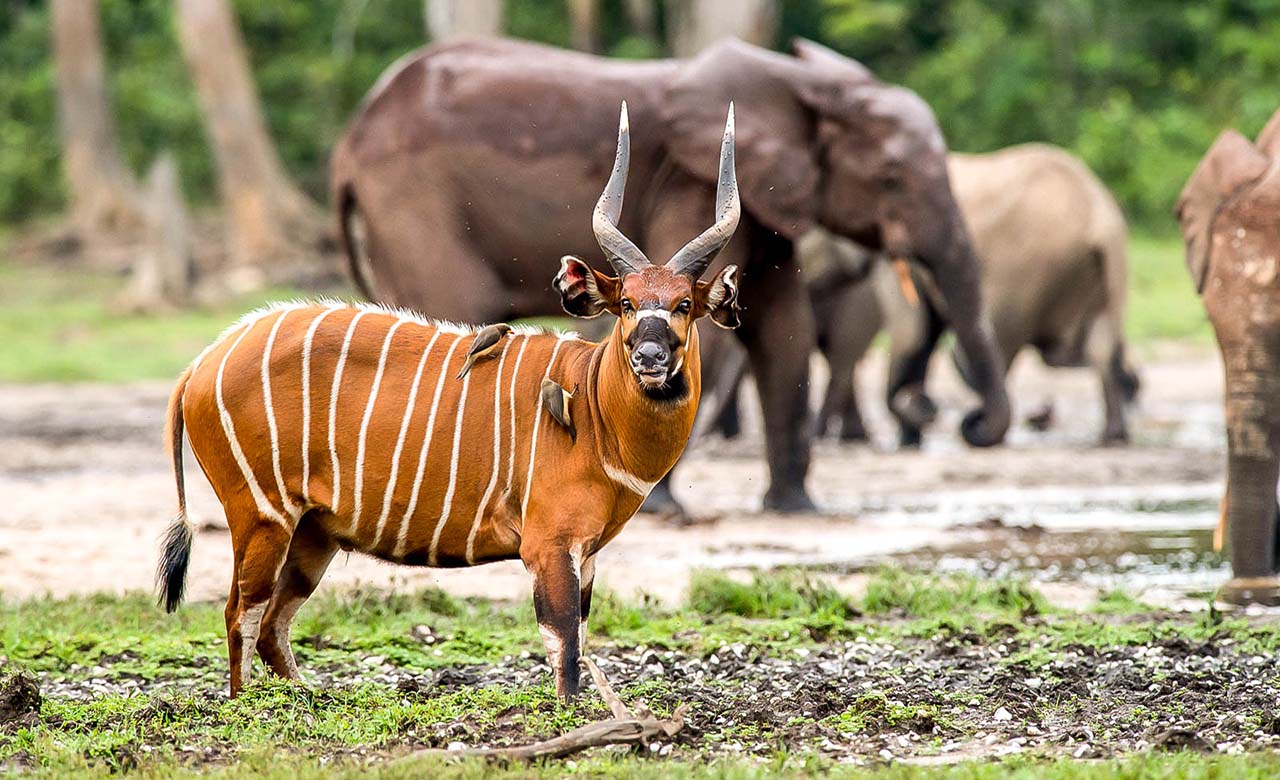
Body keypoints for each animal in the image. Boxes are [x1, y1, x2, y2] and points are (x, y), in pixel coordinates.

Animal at [158, 103, 742, 701]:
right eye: (626, 302)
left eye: (684, 305)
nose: (649, 356)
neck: (594, 410)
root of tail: (199, 366)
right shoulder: (550, 545)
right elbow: (564, 649)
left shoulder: (588, 552)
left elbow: (577, 638)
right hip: (261, 516)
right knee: (240, 614)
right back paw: (249, 708)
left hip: (312, 533)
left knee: (273, 623)